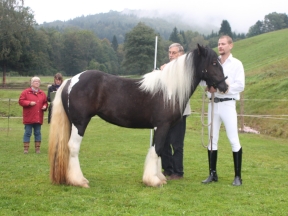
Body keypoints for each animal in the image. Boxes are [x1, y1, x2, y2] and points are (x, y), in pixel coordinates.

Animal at [49, 45, 227, 187]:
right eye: (213, 63)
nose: (225, 86)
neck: (169, 91)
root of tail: (70, 81)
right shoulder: (162, 125)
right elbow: (157, 150)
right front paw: (153, 181)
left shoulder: (162, 127)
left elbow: (159, 150)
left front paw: (159, 177)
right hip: (80, 123)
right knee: (73, 147)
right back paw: (79, 181)